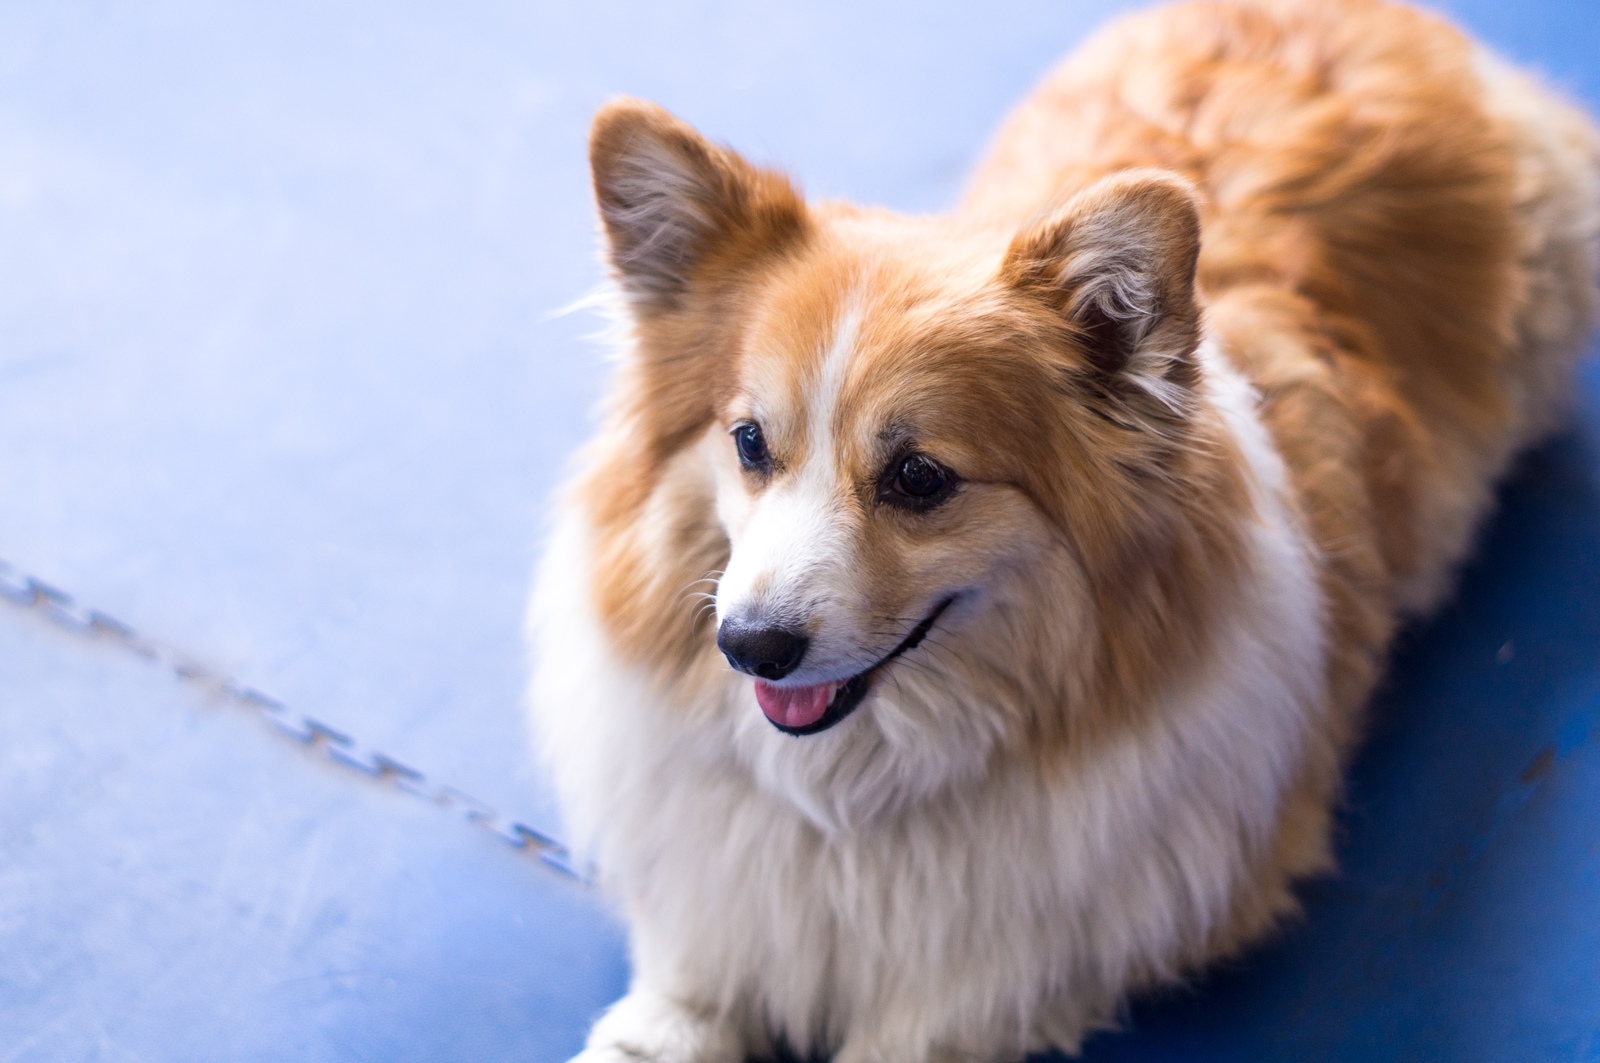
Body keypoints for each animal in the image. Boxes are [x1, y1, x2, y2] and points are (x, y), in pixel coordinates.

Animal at [531, 0, 1600, 1056]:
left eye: (920, 477)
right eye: (750, 441)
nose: (748, 648)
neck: (857, 797)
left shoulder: (1018, 971)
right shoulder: (716, 915)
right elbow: (676, 999)